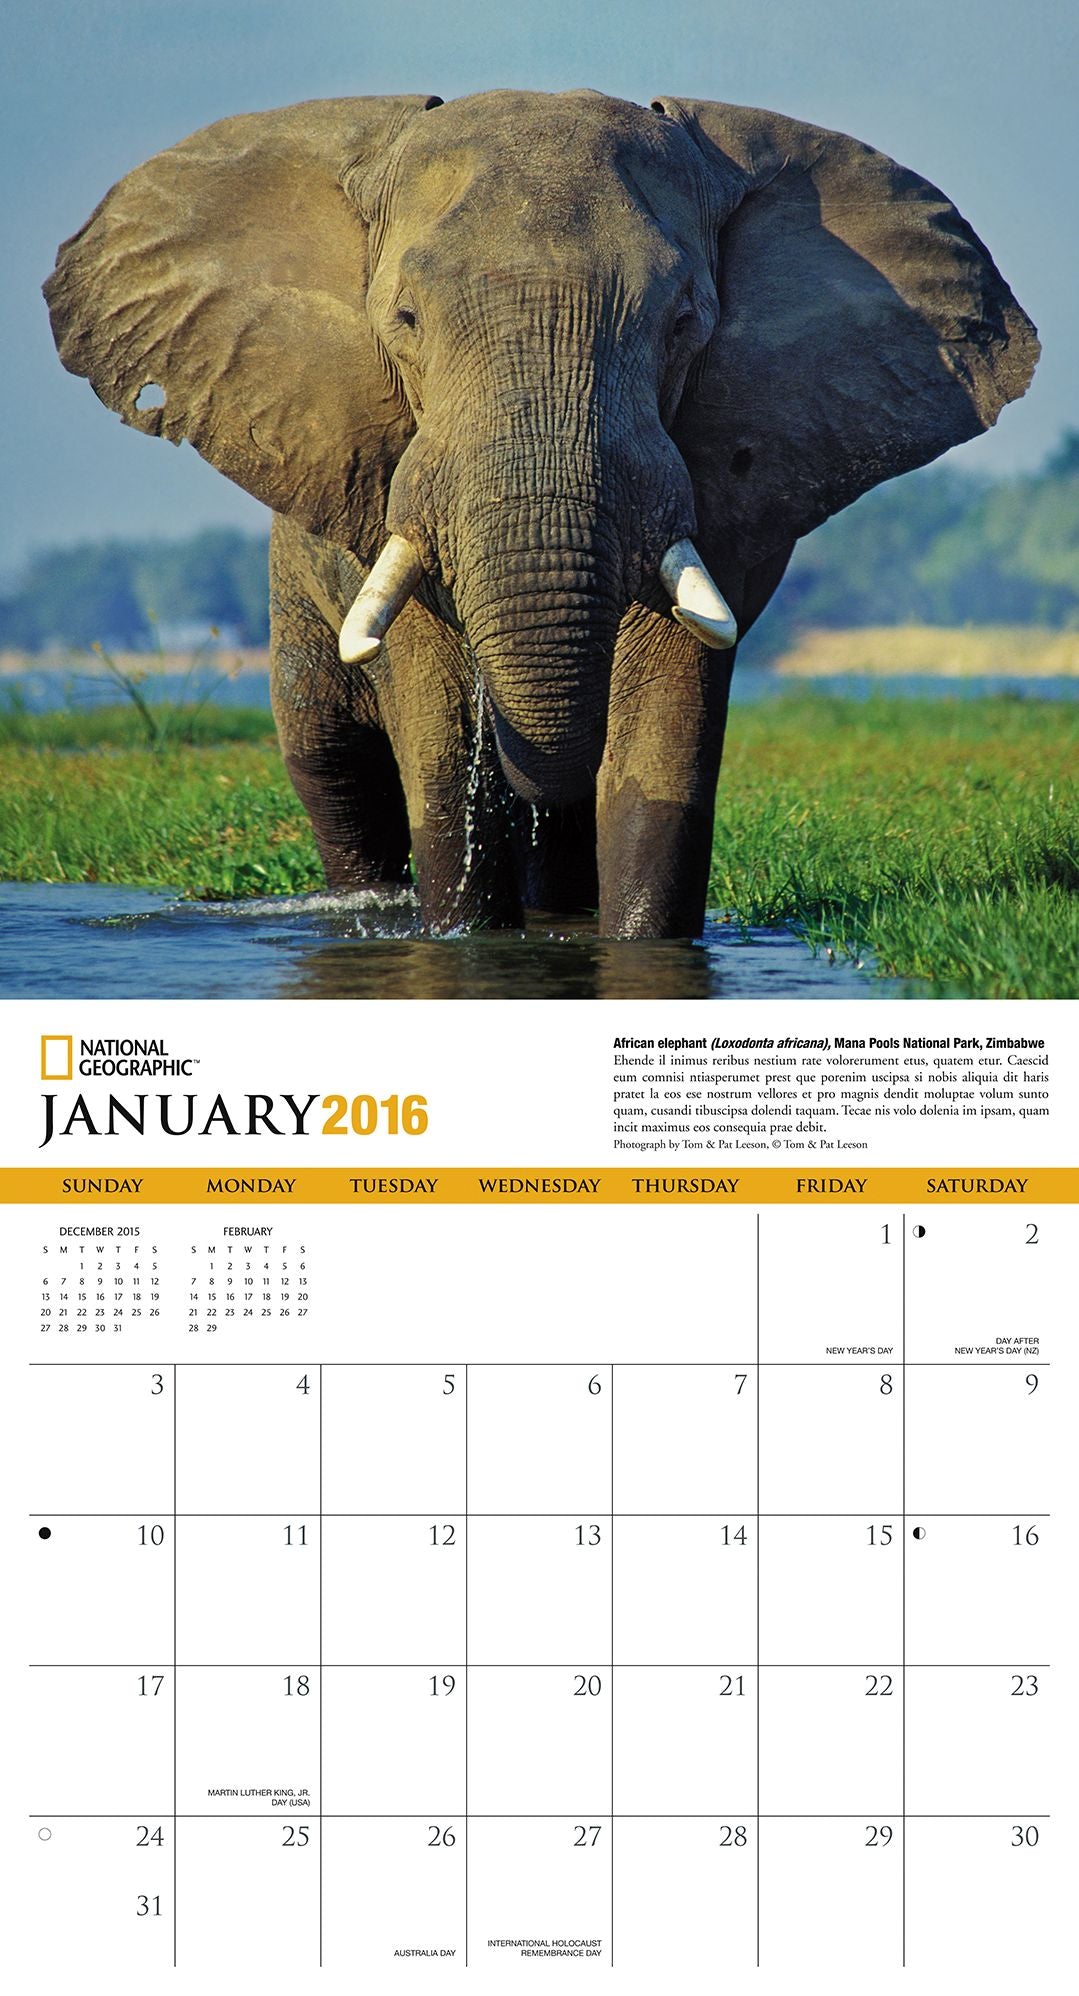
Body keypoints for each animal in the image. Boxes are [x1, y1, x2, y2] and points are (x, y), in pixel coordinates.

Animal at [45, 89, 1037, 938]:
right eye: (405, 319)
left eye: (683, 323)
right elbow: (438, 718)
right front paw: (459, 937)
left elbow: (660, 722)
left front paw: (633, 940)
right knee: (332, 770)